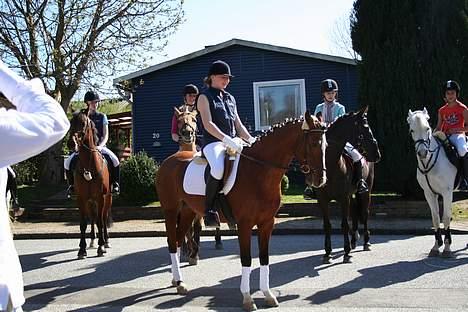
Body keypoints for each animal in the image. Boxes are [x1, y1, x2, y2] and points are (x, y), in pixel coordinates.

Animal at [68, 109, 113, 258]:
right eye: (70, 123)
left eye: (83, 123)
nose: (71, 144)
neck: (89, 165)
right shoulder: (81, 198)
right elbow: (83, 224)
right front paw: (82, 249)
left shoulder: (100, 197)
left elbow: (100, 221)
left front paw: (101, 247)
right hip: (90, 202)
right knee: (93, 218)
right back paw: (92, 241)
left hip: (107, 199)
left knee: (103, 218)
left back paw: (105, 241)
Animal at [156, 111, 326, 310]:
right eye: (314, 143)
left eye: (325, 144)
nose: (320, 180)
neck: (259, 172)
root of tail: (169, 160)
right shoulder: (244, 224)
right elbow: (246, 259)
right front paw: (247, 298)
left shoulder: (267, 223)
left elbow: (264, 258)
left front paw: (268, 295)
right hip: (171, 210)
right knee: (171, 242)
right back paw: (179, 282)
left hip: (188, 211)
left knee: (177, 239)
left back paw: (178, 281)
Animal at [308, 106, 382, 264]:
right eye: (365, 127)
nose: (377, 153)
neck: (330, 165)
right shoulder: (323, 200)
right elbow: (327, 225)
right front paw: (327, 253)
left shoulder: (343, 198)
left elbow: (344, 224)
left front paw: (346, 253)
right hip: (352, 195)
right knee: (354, 212)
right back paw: (354, 240)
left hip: (366, 191)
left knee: (364, 214)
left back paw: (366, 242)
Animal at [408, 108, 456, 258]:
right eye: (412, 130)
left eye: (427, 128)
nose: (423, 153)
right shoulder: (429, 194)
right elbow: (435, 218)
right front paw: (436, 246)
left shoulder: (447, 192)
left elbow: (445, 218)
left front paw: (447, 247)